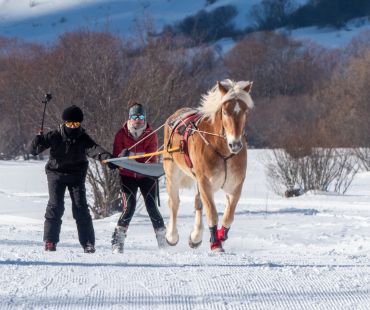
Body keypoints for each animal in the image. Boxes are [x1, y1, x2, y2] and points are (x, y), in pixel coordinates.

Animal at [163, 79, 253, 252]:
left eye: (245, 111)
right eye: (225, 112)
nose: (236, 145)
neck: (222, 149)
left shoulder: (235, 185)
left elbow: (228, 216)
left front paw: (220, 236)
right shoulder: (205, 182)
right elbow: (212, 212)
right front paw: (216, 243)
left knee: (198, 203)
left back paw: (196, 236)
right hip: (172, 172)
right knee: (174, 203)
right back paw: (172, 236)